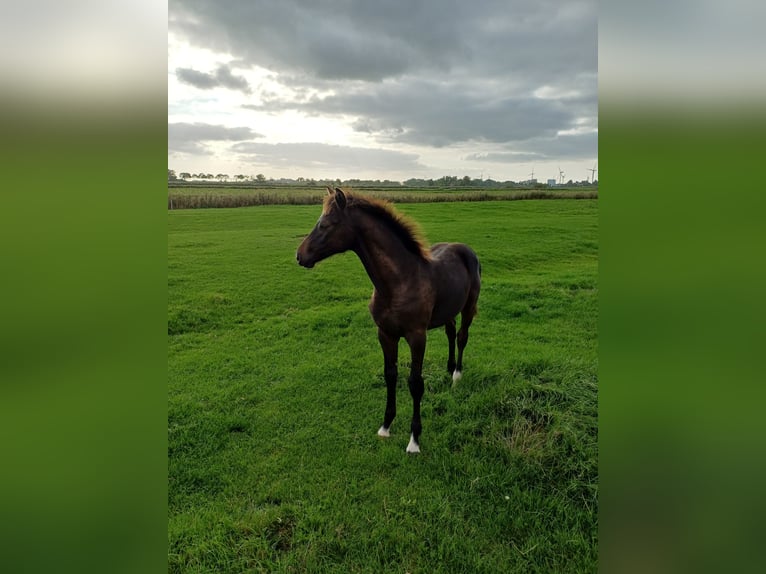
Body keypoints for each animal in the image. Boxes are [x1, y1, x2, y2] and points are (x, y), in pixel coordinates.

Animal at [296, 187, 481, 453]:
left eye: (325, 224)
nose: (300, 255)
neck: (398, 282)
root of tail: (466, 249)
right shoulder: (385, 334)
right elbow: (390, 375)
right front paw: (385, 426)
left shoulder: (417, 337)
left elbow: (415, 382)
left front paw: (414, 439)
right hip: (448, 310)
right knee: (450, 331)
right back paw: (449, 367)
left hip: (468, 306)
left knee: (462, 336)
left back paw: (456, 375)